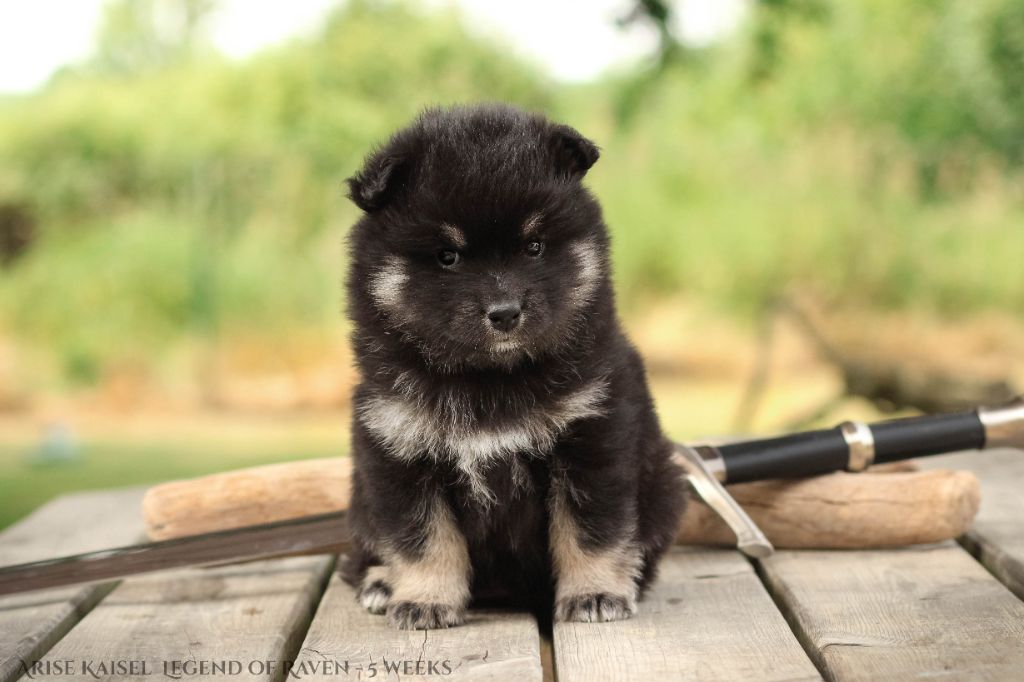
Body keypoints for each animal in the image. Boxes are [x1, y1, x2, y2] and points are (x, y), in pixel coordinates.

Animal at [340, 103, 686, 630]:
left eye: (535, 247)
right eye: (447, 256)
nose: (505, 313)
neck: (488, 380)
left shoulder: (592, 436)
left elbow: (590, 529)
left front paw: (594, 592)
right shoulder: (398, 449)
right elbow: (423, 538)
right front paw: (425, 599)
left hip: (663, 485)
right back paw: (381, 582)